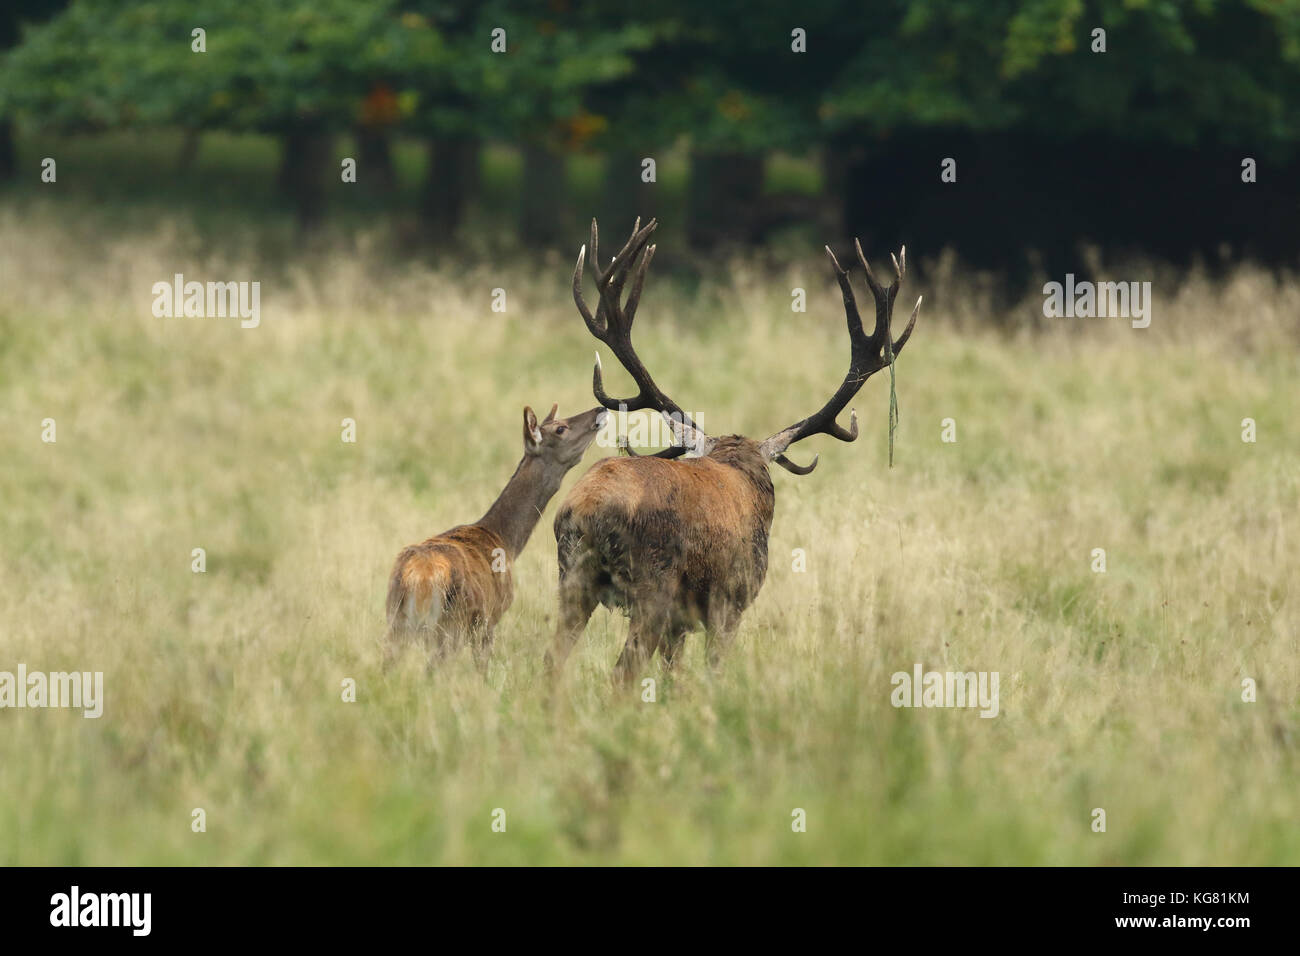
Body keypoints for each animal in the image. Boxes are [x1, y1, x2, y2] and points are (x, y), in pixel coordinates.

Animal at [386, 403, 608, 670]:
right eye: (560, 428)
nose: (599, 409)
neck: (506, 541)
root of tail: (417, 577)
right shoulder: (491, 617)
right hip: (451, 626)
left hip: (395, 622)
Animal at [545, 218, 921, 682]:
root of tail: (585, 510)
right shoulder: (731, 597)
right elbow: (712, 670)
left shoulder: (681, 622)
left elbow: (674, 679)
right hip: (654, 585)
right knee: (623, 673)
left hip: (571, 579)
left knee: (552, 661)